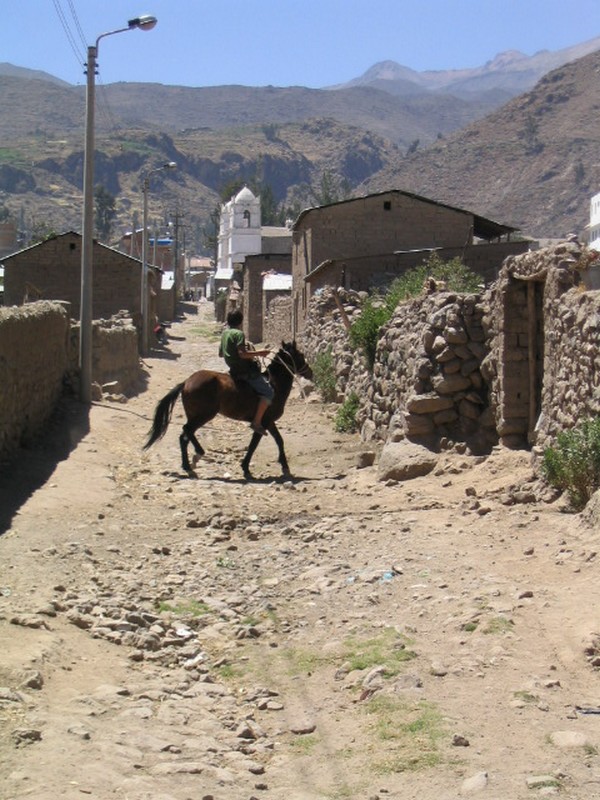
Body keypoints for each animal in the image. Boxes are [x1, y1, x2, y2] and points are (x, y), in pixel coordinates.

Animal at [143, 340, 312, 478]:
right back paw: (198, 454)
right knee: (187, 430)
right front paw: (246, 468)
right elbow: (254, 445)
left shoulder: (270, 422)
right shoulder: (262, 423)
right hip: (204, 415)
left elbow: (279, 440)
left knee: (184, 436)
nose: (310, 372)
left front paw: (285, 467)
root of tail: (186, 382)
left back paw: (188, 466)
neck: (274, 384)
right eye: (300, 354)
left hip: (195, 415)